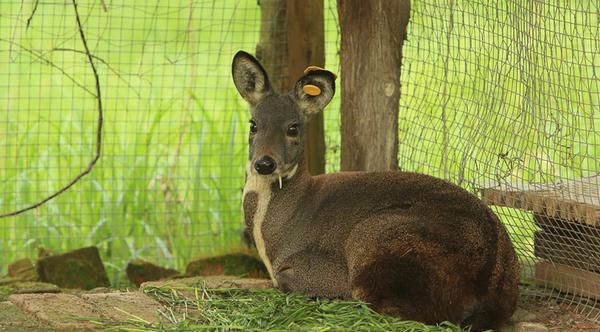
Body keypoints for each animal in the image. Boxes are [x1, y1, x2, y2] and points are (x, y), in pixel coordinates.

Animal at [232, 50, 516, 330]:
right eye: (253, 124)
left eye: (293, 127)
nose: (264, 163)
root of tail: (492, 285)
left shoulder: (321, 268)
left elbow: (292, 281)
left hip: (377, 235)